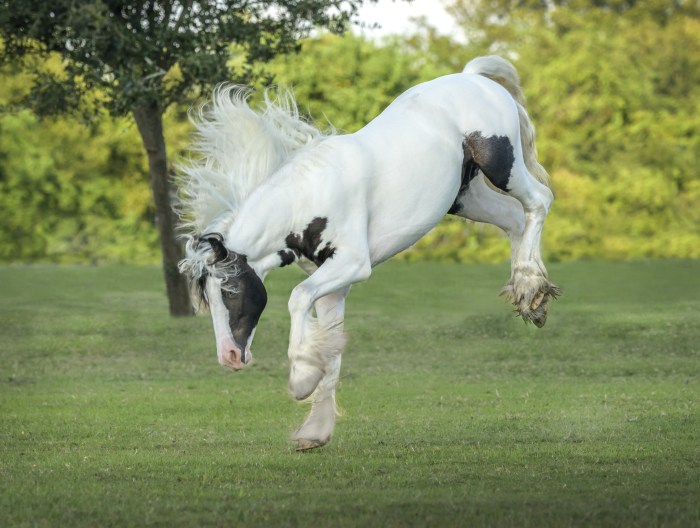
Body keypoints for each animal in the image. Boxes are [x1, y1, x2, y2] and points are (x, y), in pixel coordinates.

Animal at [178, 54, 560, 450]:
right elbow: (330, 348)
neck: (306, 199)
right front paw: (314, 430)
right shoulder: (334, 286)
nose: (229, 356)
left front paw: (301, 381)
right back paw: (532, 296)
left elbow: (298, 299)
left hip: (502, 167)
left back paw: (530, 287)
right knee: (515, 219)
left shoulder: (352, 264)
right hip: (467, 196)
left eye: (230, 290)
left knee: (540, 201)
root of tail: (472, 78)